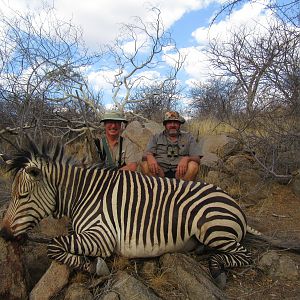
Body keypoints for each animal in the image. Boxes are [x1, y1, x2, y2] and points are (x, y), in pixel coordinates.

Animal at [0, 141, 258, 284]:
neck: (83, 194)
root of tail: (234, 204)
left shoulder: (102, 236)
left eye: (22, 196)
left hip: (213, 229)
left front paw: (93, 266)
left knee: (244, 255)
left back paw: (216, 269)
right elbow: (62, 240)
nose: (3, 233)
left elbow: (54, 245)